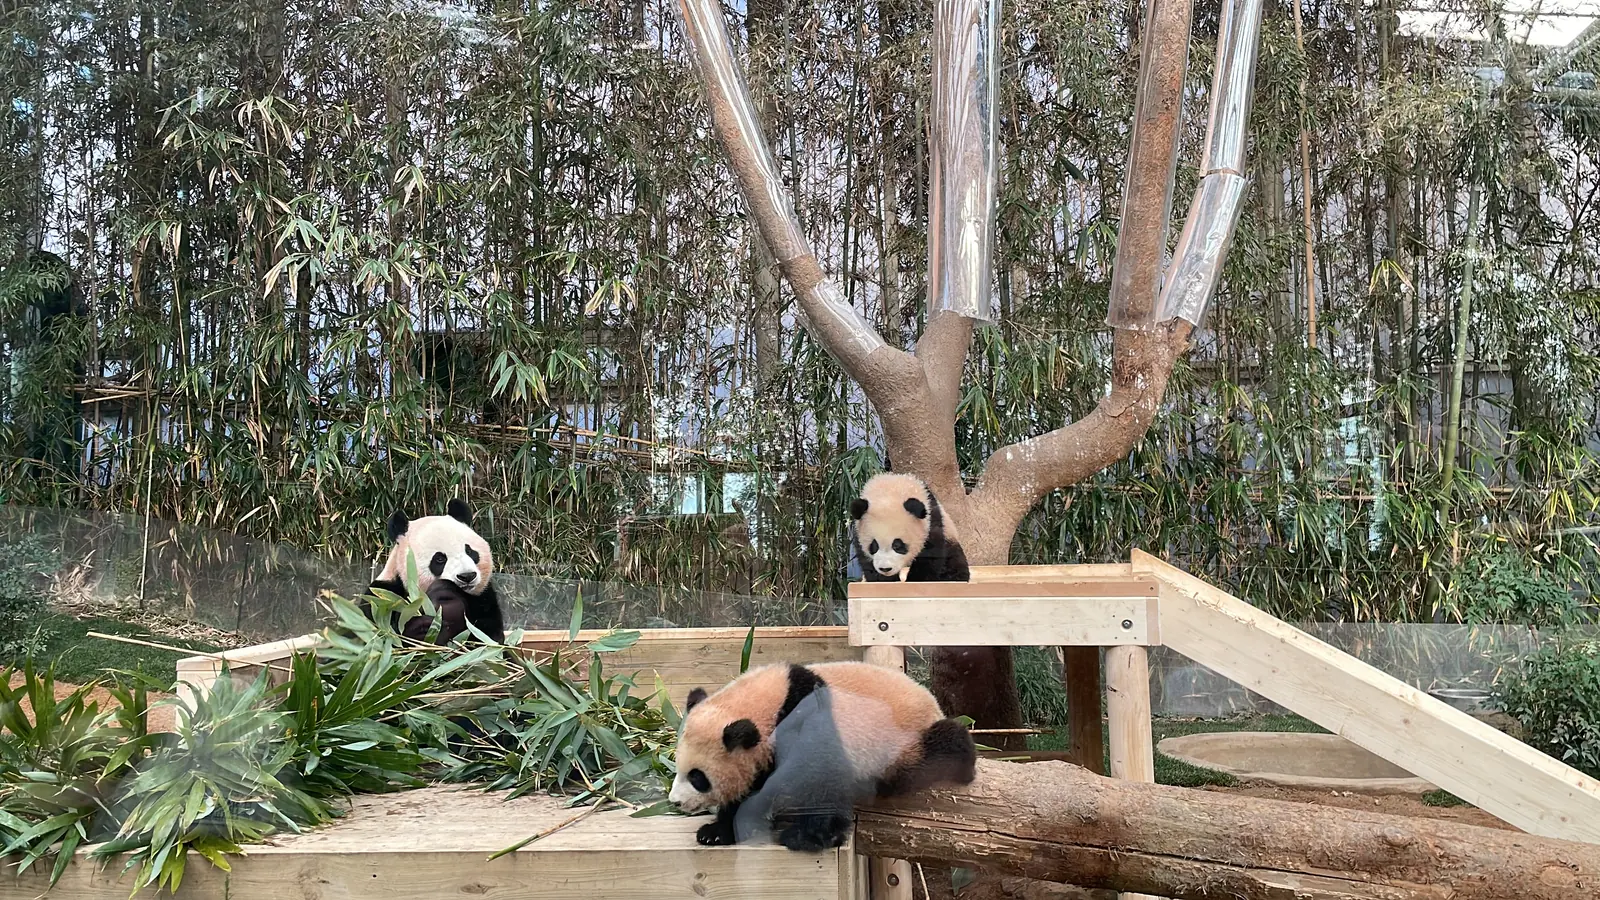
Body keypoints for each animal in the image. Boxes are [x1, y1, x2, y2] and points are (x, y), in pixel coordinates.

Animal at [361, 498, 506, 645]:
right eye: (440, 559)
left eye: (470, 551)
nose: (467, 576)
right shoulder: (381, 598)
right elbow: (385, 636)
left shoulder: (484, 598)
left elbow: (487, 637)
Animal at [667, 661, 976, 852]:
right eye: (678, 767)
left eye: (697, 777)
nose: (675, 802)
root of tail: (932, 703)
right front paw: (716, 831)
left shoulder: (805, 724)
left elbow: (819, 778)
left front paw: (808, 837)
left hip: (902, 744)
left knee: (927, 758)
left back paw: (963, 758)